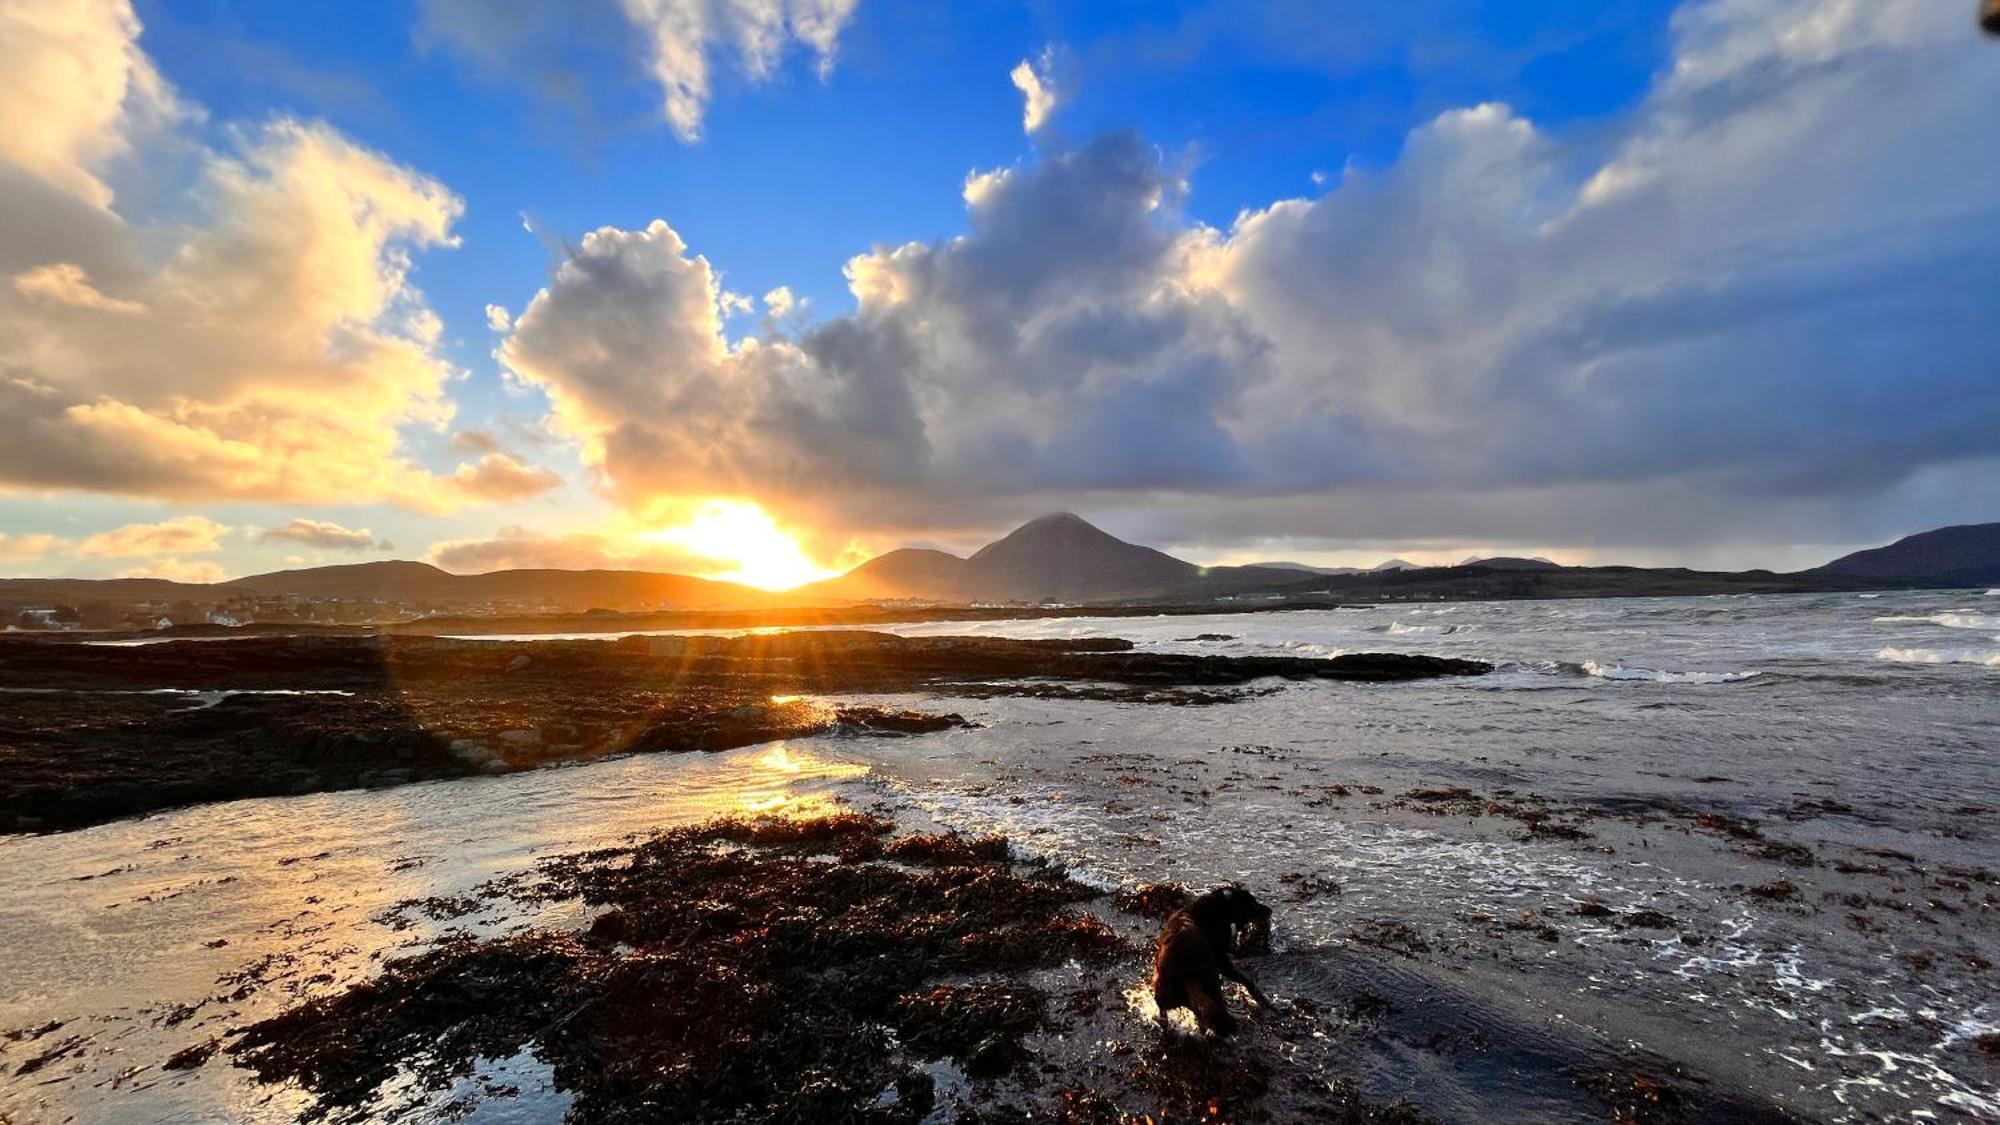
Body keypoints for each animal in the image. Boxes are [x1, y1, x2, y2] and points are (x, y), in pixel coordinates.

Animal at [1152, 884, 1272, 1032]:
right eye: (1253, 904)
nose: (1270, 910)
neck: (1216, 907)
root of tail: (1185, 974)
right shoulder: (1222, 961)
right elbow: (1246, 980)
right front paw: (1261, 999)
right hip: (1213, 986)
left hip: (1164, 994)